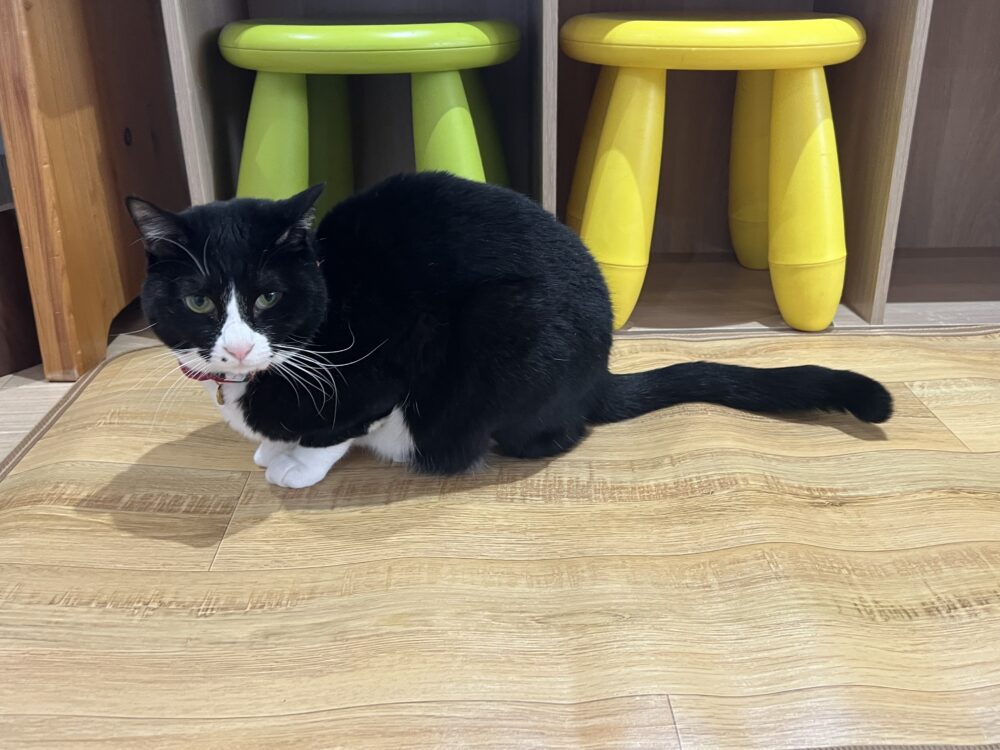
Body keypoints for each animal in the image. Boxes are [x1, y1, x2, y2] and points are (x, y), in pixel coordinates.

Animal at [127, 171, 892, 489]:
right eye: (199, 302)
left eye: (267, 297)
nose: (236, 347)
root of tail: (598, 376)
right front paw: (270, 447)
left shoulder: (384, 365)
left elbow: (338, 428)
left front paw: (294, 464)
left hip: (511, 334)